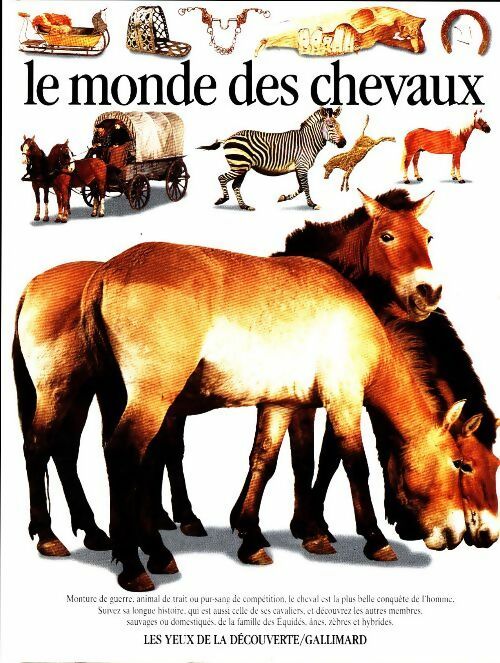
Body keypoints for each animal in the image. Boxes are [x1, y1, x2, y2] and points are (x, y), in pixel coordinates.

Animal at [79, 240, 465, 591]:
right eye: (458, 464)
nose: (456, 533)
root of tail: (106, 272)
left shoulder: (281, 405)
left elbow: (265, 461)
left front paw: (253, 537)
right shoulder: (344, 398)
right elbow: (355, 465)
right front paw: (374, 538)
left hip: (125, 398)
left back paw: (154, 552)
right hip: (153, 400)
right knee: (126, 456)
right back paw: (136, 564)